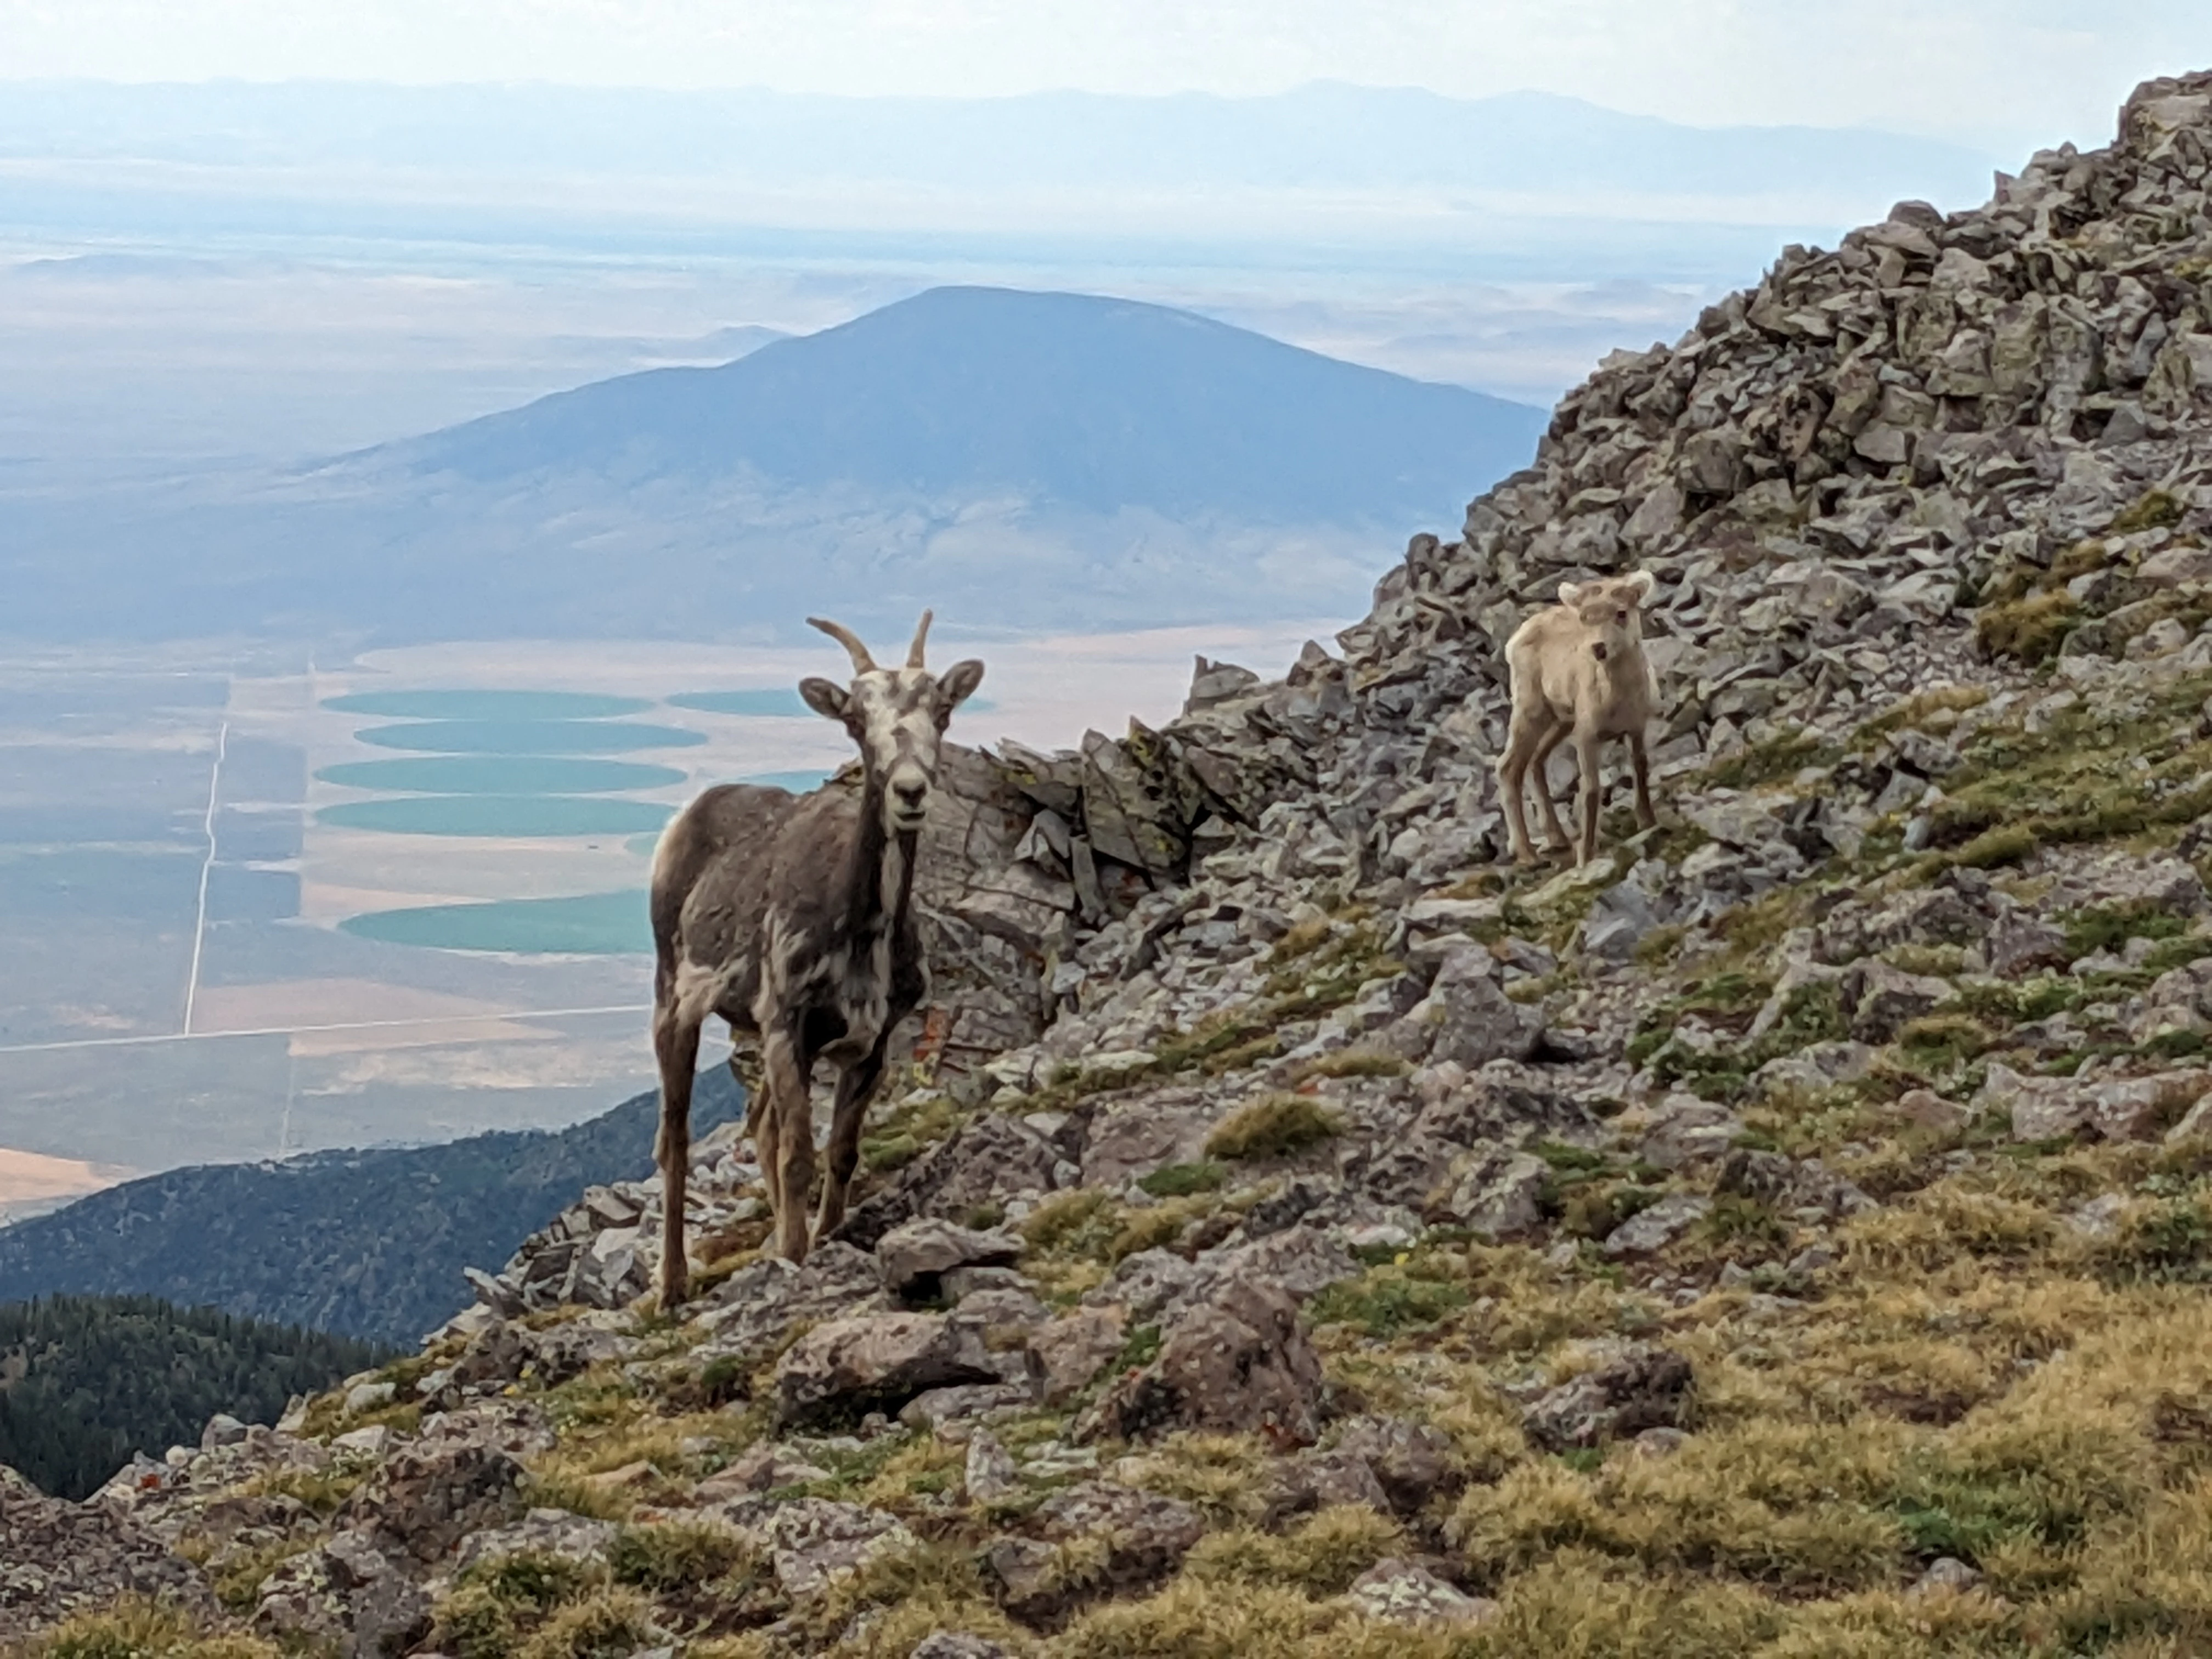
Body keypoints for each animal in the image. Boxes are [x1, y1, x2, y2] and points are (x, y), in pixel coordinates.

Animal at [647, 612, 984, 1305]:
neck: (859, 934)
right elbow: (798, 1152)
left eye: (941, 709)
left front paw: (819, 1237)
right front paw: (796, 1254)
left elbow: (842, 1150)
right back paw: (672, 1284)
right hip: (673, 998)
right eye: (855, 717)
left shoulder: (875, 1040)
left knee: (758, 1122)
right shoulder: (787, 1022)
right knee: (677, 1137)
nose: (910, 791)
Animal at [1497, 570, 1660, 867]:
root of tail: (1516, 639)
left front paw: (1647, 822)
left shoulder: (1636, 729)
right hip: (1532, 713)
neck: (1618, 699)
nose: (1599, 648)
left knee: (1536, 762)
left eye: (1621, 612)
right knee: (1509, 767)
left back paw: (1557, 839)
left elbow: (1640, 769)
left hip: (1561, 722)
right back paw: (1527, 854)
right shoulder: (1586, 738)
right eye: (1585, 617)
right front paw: (1585, 857)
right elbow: (1591, 790)